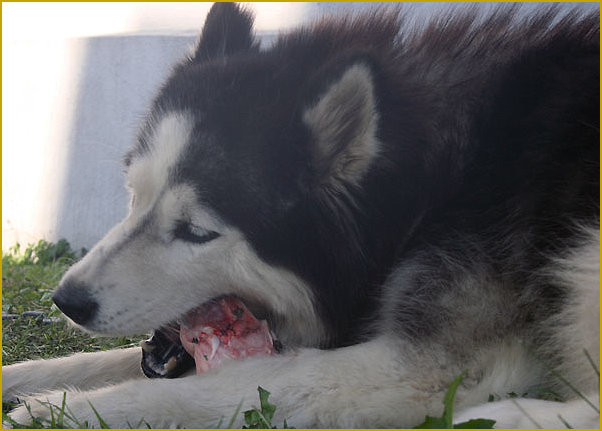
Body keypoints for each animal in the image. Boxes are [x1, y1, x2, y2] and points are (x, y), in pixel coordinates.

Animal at [3, 2, 596, 428]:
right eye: (134, 195)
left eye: (197, 231)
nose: (68, 301)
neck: (428, 190)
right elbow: (107, 360)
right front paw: (23, 380)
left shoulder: (424, 368)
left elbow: (238, 383)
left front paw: (60, 409)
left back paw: (508, 414)